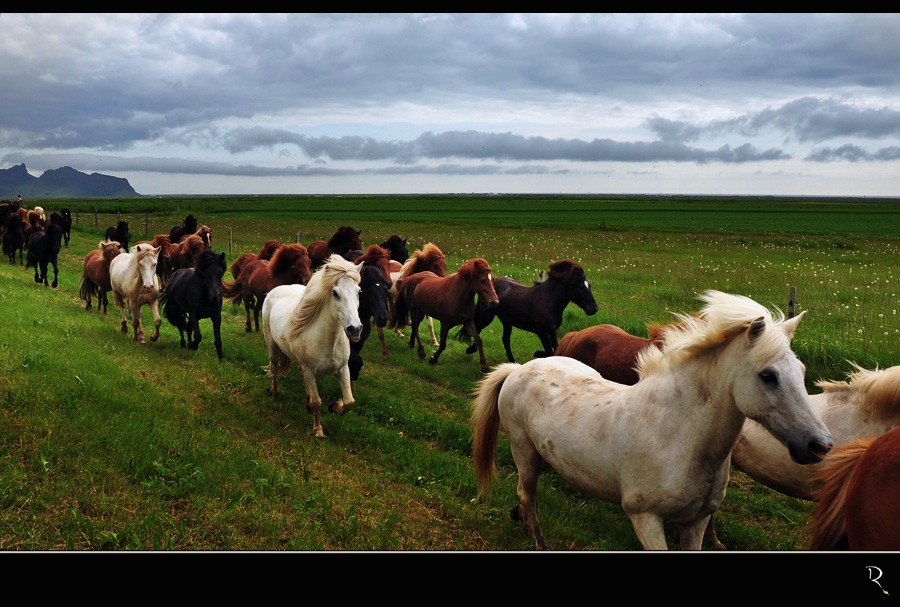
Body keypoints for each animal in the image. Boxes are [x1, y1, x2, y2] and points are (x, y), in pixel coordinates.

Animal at [262, 254, 364, 440]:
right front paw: (318, 430)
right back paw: (274, 392)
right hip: (272, 347)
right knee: (274, 369)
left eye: (359, 292)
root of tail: (275, 290)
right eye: (335, 293)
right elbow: (317, 402)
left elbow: (349, 401)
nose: (355, 329)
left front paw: (335, 406)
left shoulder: (343, 369)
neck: (328, 342)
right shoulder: (310, 370)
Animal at [474, 290, 832, 552]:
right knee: (527, 496)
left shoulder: (695, 523)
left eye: (801, 371)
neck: (675, 434)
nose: (820, 445)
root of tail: (519, 369)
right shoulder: (645, 519)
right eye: (768, 376)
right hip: (524, 452)